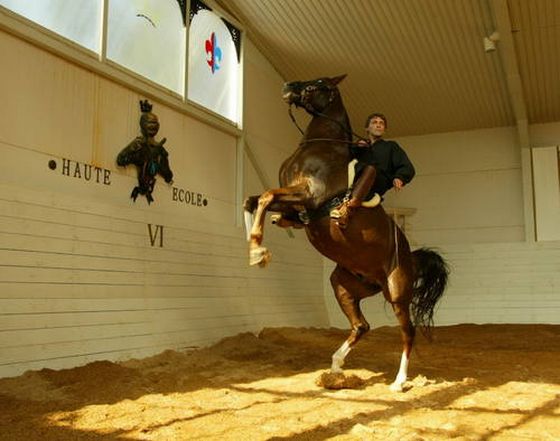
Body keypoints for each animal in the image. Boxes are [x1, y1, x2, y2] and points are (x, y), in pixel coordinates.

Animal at [243, 74, 448, 390]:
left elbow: (265, 197)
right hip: (343, 285)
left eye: (320, 84)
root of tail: (411, 257)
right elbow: (253, 201)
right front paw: (254, 247)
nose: (288, 87)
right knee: (361, 325)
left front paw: (257, 250)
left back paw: (399, 381)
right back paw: (336, 367)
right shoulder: (295, 201)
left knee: (408, 332)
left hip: (397, 292)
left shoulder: (307, 195)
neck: (320, 148)